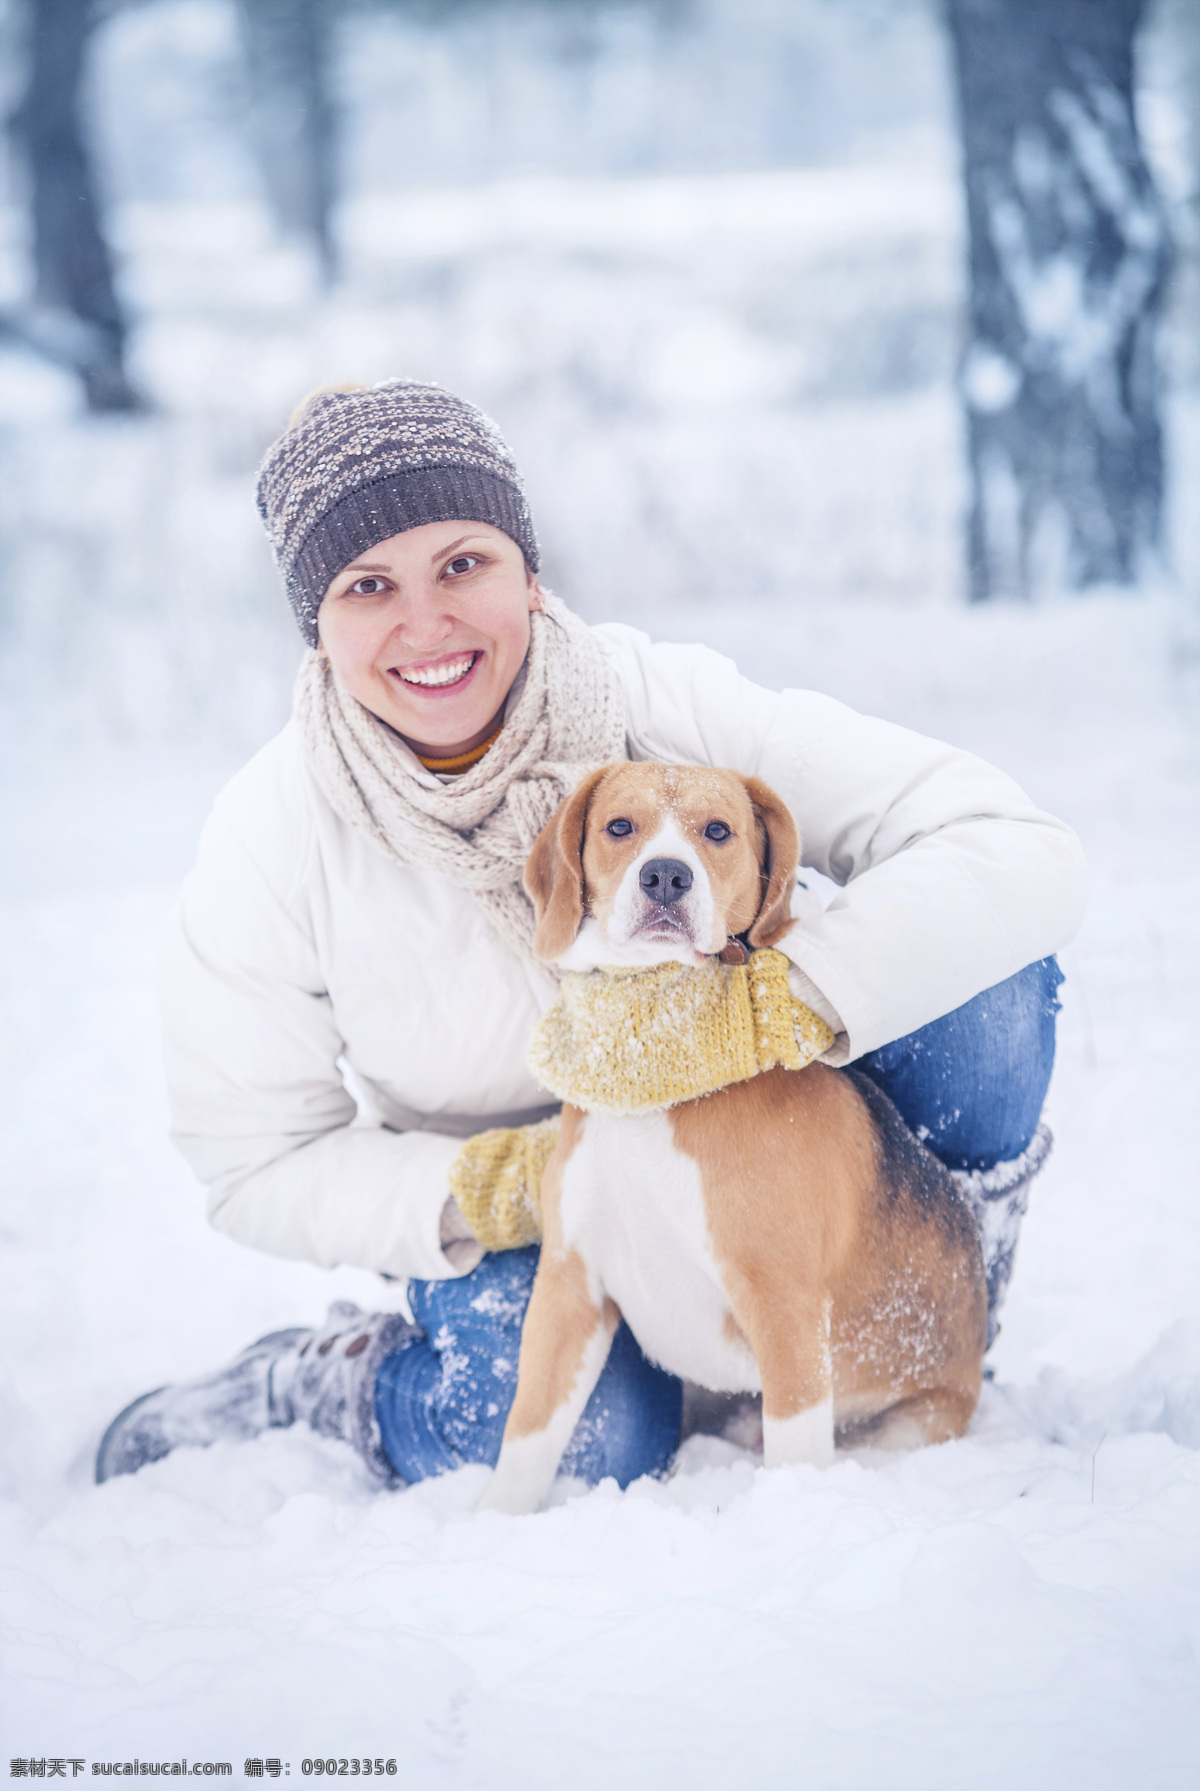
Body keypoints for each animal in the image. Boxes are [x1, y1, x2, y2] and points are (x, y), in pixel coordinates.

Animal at [480, 762, 988, 1518]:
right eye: (619, 826)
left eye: (718, 831)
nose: (665, 875)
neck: (648, 1068)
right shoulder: (569, 1289)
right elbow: (527, 1438)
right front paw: (491, 1522)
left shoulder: (784, 1306)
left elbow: (795, 1450)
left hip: (910, 1424)